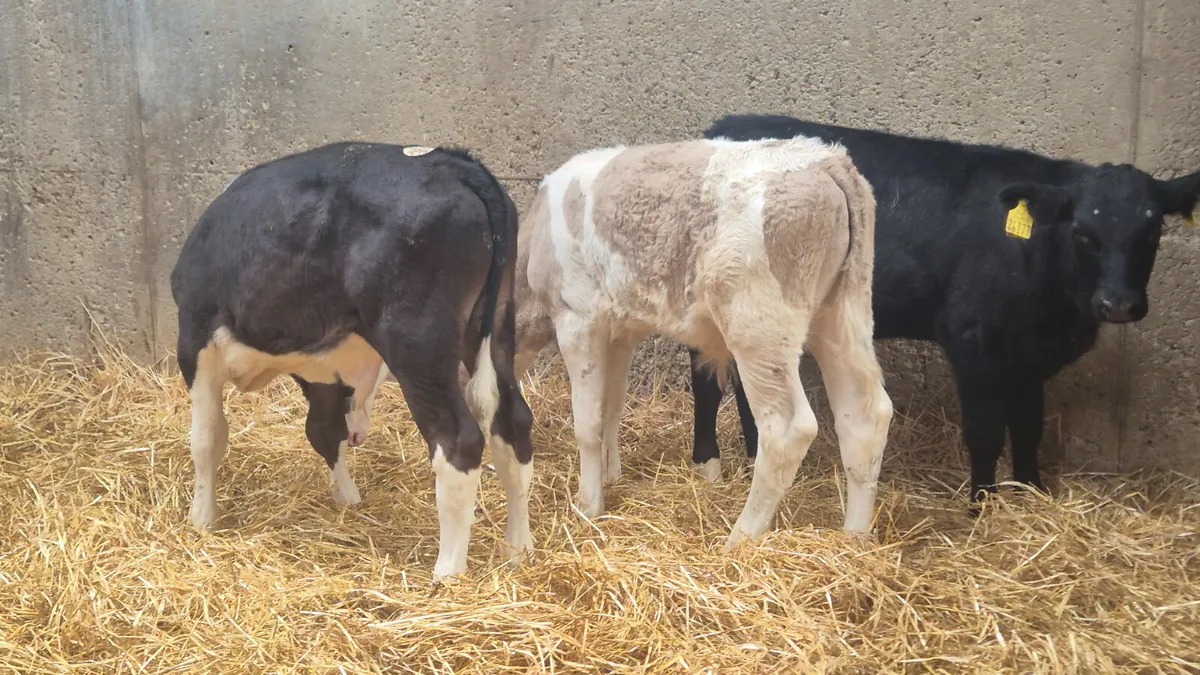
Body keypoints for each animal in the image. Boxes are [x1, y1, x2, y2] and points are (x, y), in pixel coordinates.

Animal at [170, 142, 535, 581]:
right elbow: (325, 431)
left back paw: (447, 571)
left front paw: (202, 518)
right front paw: (347, 497)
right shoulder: (326, 371)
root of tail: (451, 161)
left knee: (458, 440)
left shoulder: (195, 338)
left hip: (416, 339)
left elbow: (207, 438)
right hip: (495, 323)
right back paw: (519, 550)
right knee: (513, 423)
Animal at [512, 136, 894, 545]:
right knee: (865, 415)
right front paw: (611, 475)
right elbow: (612, 407)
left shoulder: (577, 319)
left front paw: (588, 505)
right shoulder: (620, 332)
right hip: (843, 312)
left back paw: (741, 538)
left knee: (787, 428)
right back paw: (853, 538)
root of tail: (826, 159)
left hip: (760, 327)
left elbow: (587, 423)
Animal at [689, 114, 1200, 508]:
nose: (1119, 304)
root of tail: (722, 127)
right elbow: (985, 431)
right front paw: (981, 506)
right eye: (1082, 232)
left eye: (1152, 230)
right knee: (705, 380)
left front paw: (1032, 493)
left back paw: (754, 453)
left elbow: (1028, 426)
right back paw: (708, 463)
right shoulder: (971, 339)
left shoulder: (1029, 355)